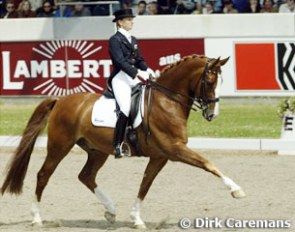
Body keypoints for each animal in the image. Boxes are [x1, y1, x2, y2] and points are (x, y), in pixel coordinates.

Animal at [0, 54, 245, 228]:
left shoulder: (160, 156)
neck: (167, 100)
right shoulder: (175, 149)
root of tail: (61, 100)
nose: (213, 114)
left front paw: (136, 218)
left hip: (98, 151)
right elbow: (208, 164)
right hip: (60, 146)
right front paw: (236, 190)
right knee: (44, 175)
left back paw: (111, 210)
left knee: (86, 176)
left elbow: (145, 183)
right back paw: (36, 218)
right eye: (209, 81)